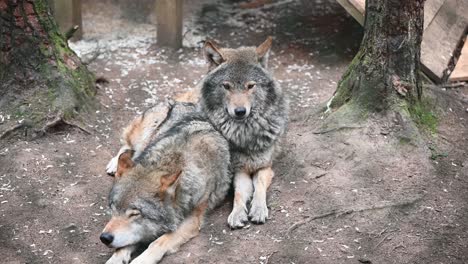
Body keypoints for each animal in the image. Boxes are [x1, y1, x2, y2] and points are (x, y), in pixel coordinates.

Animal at [101, 101, 230, 264]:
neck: (172, 161)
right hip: (146, 132)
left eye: (134, 214)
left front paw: (142, 259)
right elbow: (123, 246)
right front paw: (115, 258)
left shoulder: (193, 219)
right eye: (113, 208)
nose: (104, 238)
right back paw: (115, 164)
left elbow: (158, 242)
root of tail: (181, 102)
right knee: (127, 147)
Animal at [198, 36, 288, 228]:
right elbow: (239, 192)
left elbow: (259, 186)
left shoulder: (265, 166)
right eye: (226, 86)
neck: (244, 134)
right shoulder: (239, 169)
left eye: (250, 86)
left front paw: (259, 209)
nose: (240, 111)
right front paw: (237, 213)